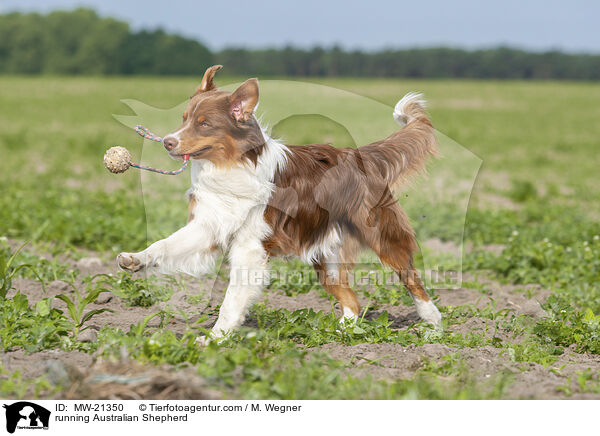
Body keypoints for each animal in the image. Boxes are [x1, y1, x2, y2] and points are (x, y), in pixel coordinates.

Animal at [118, 65, 440, 344]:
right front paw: (136, 258)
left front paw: (214, 340)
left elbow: (230, 300)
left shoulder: (250, 247)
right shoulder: (210, 226)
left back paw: (433, 325)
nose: (167, 142)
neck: (231, 167)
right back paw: (340, 333)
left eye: (204, 124)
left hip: (381, 236)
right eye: (184, 119)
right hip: (327, 255)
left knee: (412, 279)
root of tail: (362, 155)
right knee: (352, 301)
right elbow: (165, 245)